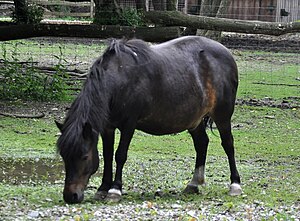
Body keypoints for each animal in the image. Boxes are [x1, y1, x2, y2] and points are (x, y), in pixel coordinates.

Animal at [56, 35, 243, 204]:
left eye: (84, 156)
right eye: (64, 156)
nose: (71, 196)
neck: (119, 79)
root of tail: (227, 54)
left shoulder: (129, 124)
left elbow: (120, 155)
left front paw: (115, 190)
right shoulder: (107, 127)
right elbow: (108, 156)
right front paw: (102, 189)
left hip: (222, 115)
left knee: (228, 144)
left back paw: (235, 185)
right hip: (194, 120)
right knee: (202, 143)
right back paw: (193, 184)